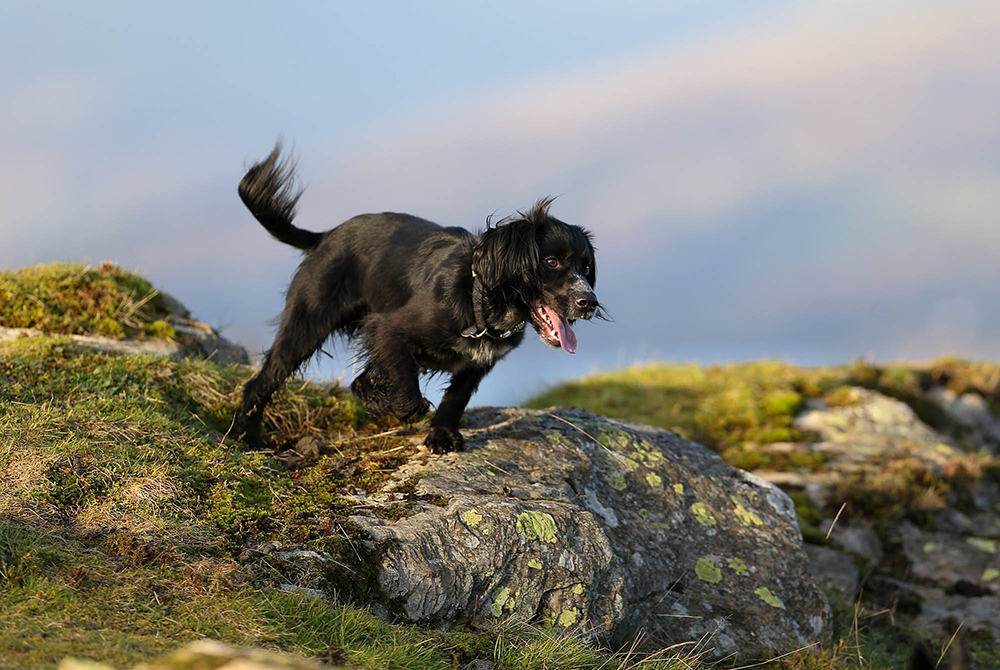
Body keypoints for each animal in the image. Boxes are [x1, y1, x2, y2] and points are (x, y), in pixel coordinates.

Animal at [232, 144, 600, 454]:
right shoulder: (389, 328)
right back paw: (245, 436)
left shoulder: (477, 363)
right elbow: (406, 391)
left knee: (357, 380)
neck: (480, 301)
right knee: (260, 383)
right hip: (306, 324)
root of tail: (325, 236)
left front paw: (440, 434)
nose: (589, 302)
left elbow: (455, 397)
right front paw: (403, 408)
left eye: (586, 267)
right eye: (551, 262)